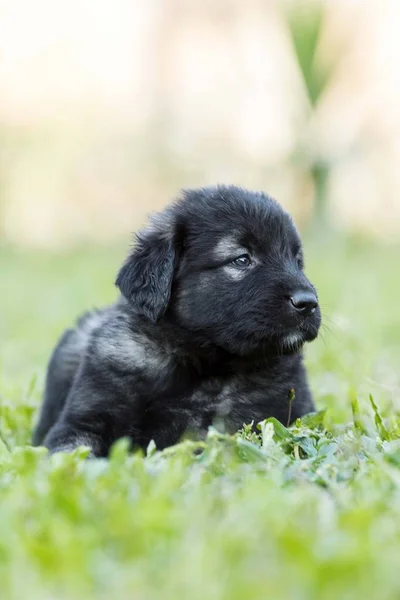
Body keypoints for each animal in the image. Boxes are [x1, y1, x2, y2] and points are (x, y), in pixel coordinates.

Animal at [33, 185, 322, 458]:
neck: (203, 364)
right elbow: (72, 454)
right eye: (241, 259)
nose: (307, 303)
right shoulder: (84, 422)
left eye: (297, 262)